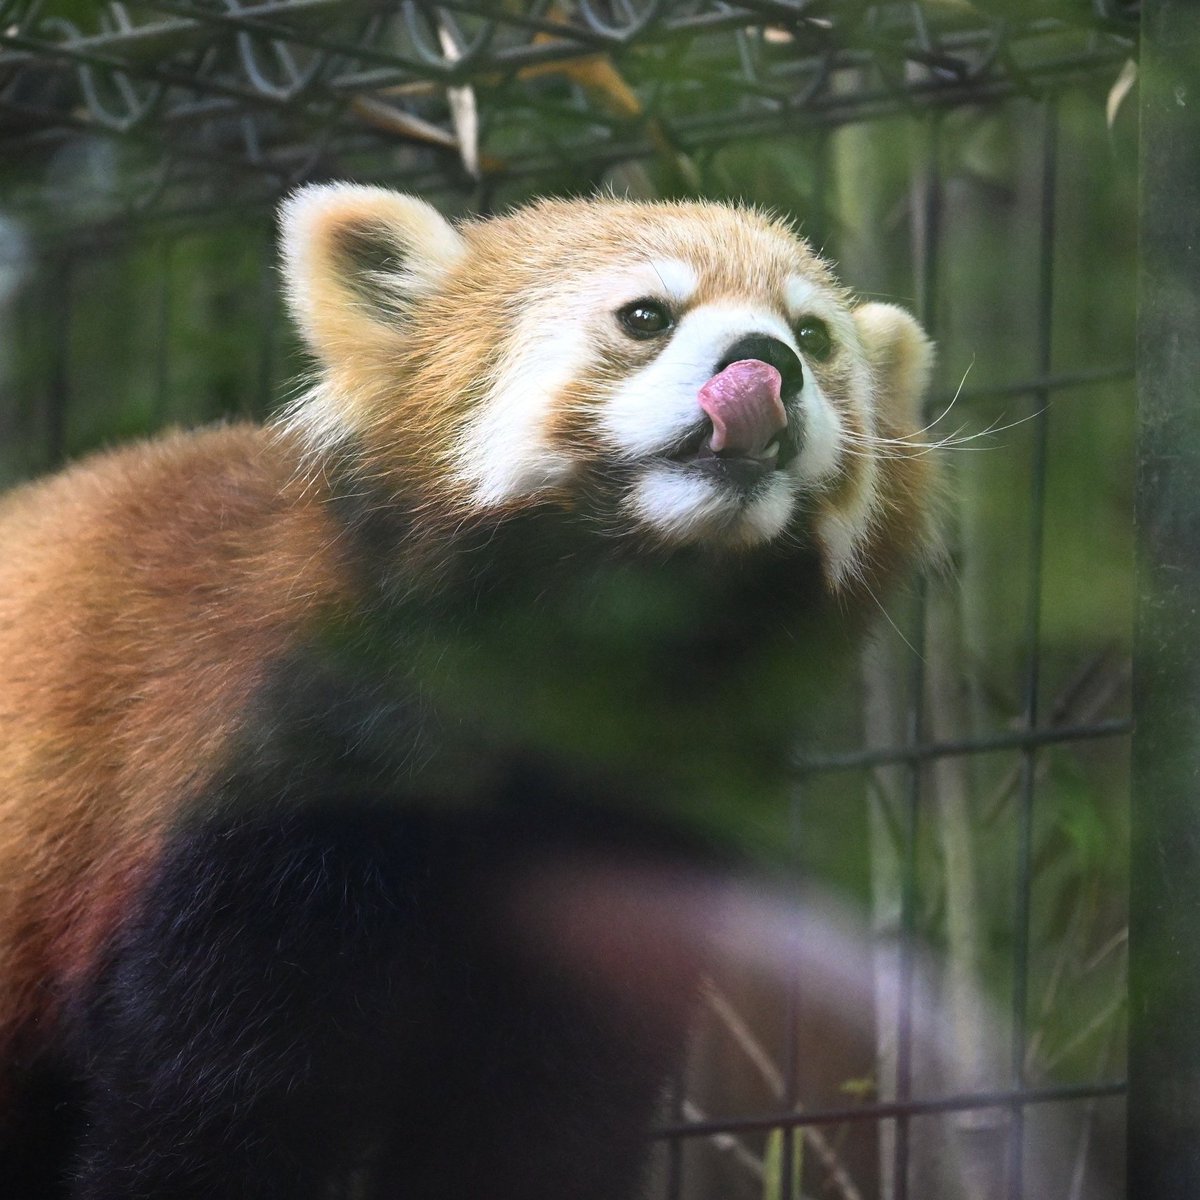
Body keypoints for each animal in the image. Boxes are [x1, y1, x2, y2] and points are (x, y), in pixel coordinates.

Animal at [0, 187, 936, 1200]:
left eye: (814, 333)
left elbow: (541, 1119)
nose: (768, 364)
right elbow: (212, 1109)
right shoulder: (262, 790)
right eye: (646, 316)